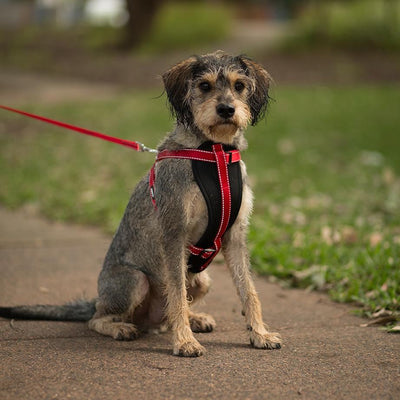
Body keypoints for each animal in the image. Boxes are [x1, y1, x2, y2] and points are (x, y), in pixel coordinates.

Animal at [0, 52, 282, 356]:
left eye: (239, 85)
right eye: (204, 86)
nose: (227, 109)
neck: (213, 152)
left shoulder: (234, 236)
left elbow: (248, 290)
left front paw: (259, 334)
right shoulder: (174, 234)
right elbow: (177, 295)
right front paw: (185, 342)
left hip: (202, 280)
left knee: (168, 312)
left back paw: (194, 319)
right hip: (135, 280)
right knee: (98, 318)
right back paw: (123, 328)